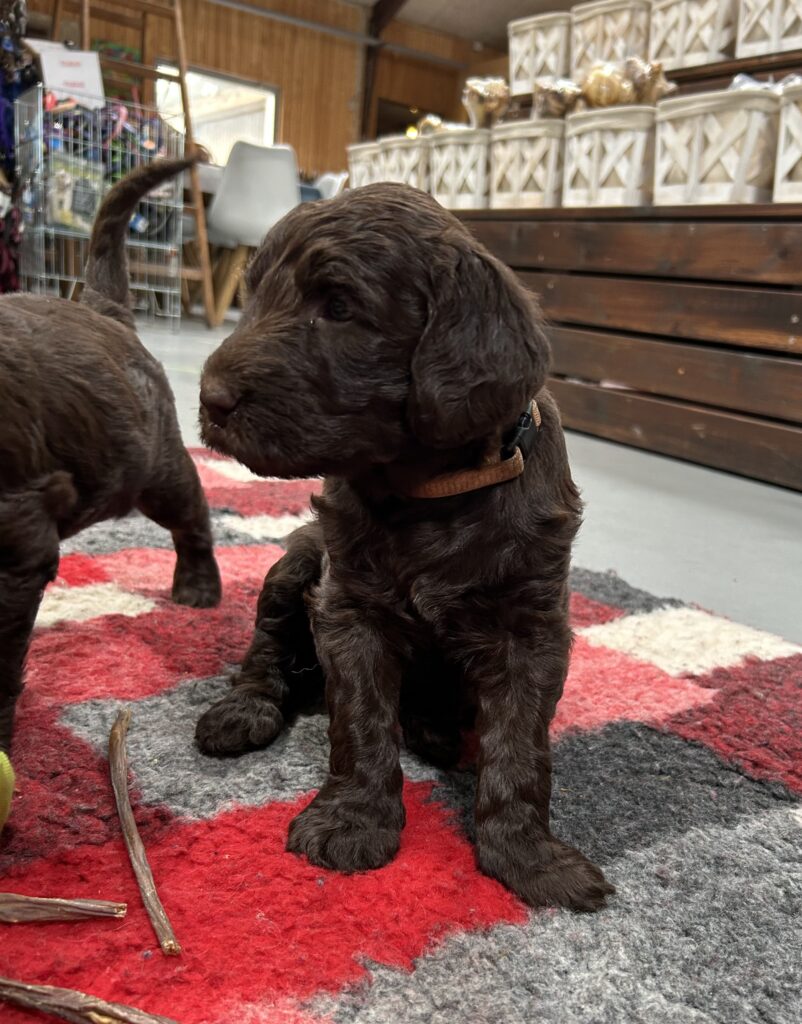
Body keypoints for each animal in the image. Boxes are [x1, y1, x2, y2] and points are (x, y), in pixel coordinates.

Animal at [194, 183, 613, 911]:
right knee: (265, 647)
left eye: (338, 308)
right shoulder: (350, 608)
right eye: (255, 296)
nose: (208, 398)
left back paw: (435, 729)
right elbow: (360, 723)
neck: (431, 491)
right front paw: (352, 822)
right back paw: (244, 710)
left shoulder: (531, 627)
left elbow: (521, 747)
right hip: (296, 564)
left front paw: (529, 856)